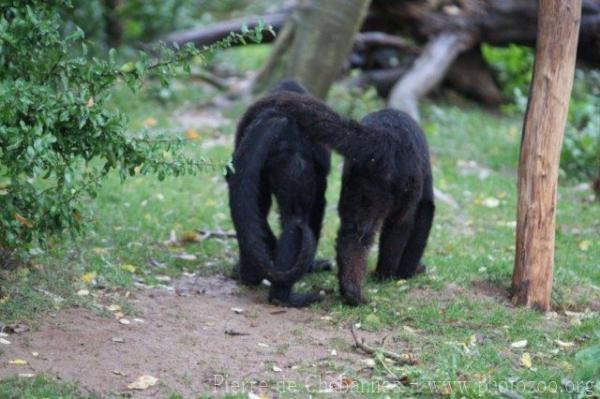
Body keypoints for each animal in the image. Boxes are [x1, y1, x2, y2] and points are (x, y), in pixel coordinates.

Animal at [227, 79, 332, 308]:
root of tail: (276, 117)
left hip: (252, 174)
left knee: (254, 218)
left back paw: (249, 275)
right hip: (293, 166)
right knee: (296, 220)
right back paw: (287, 297)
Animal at [241, 93, 434, 306]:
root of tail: (382, 138)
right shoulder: (425, 197)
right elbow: (423, 225)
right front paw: (410, 271)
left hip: (359, 196)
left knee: (352, 239)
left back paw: (351, 294)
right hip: (398, 206)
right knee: (393, 234)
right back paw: (386, 275)